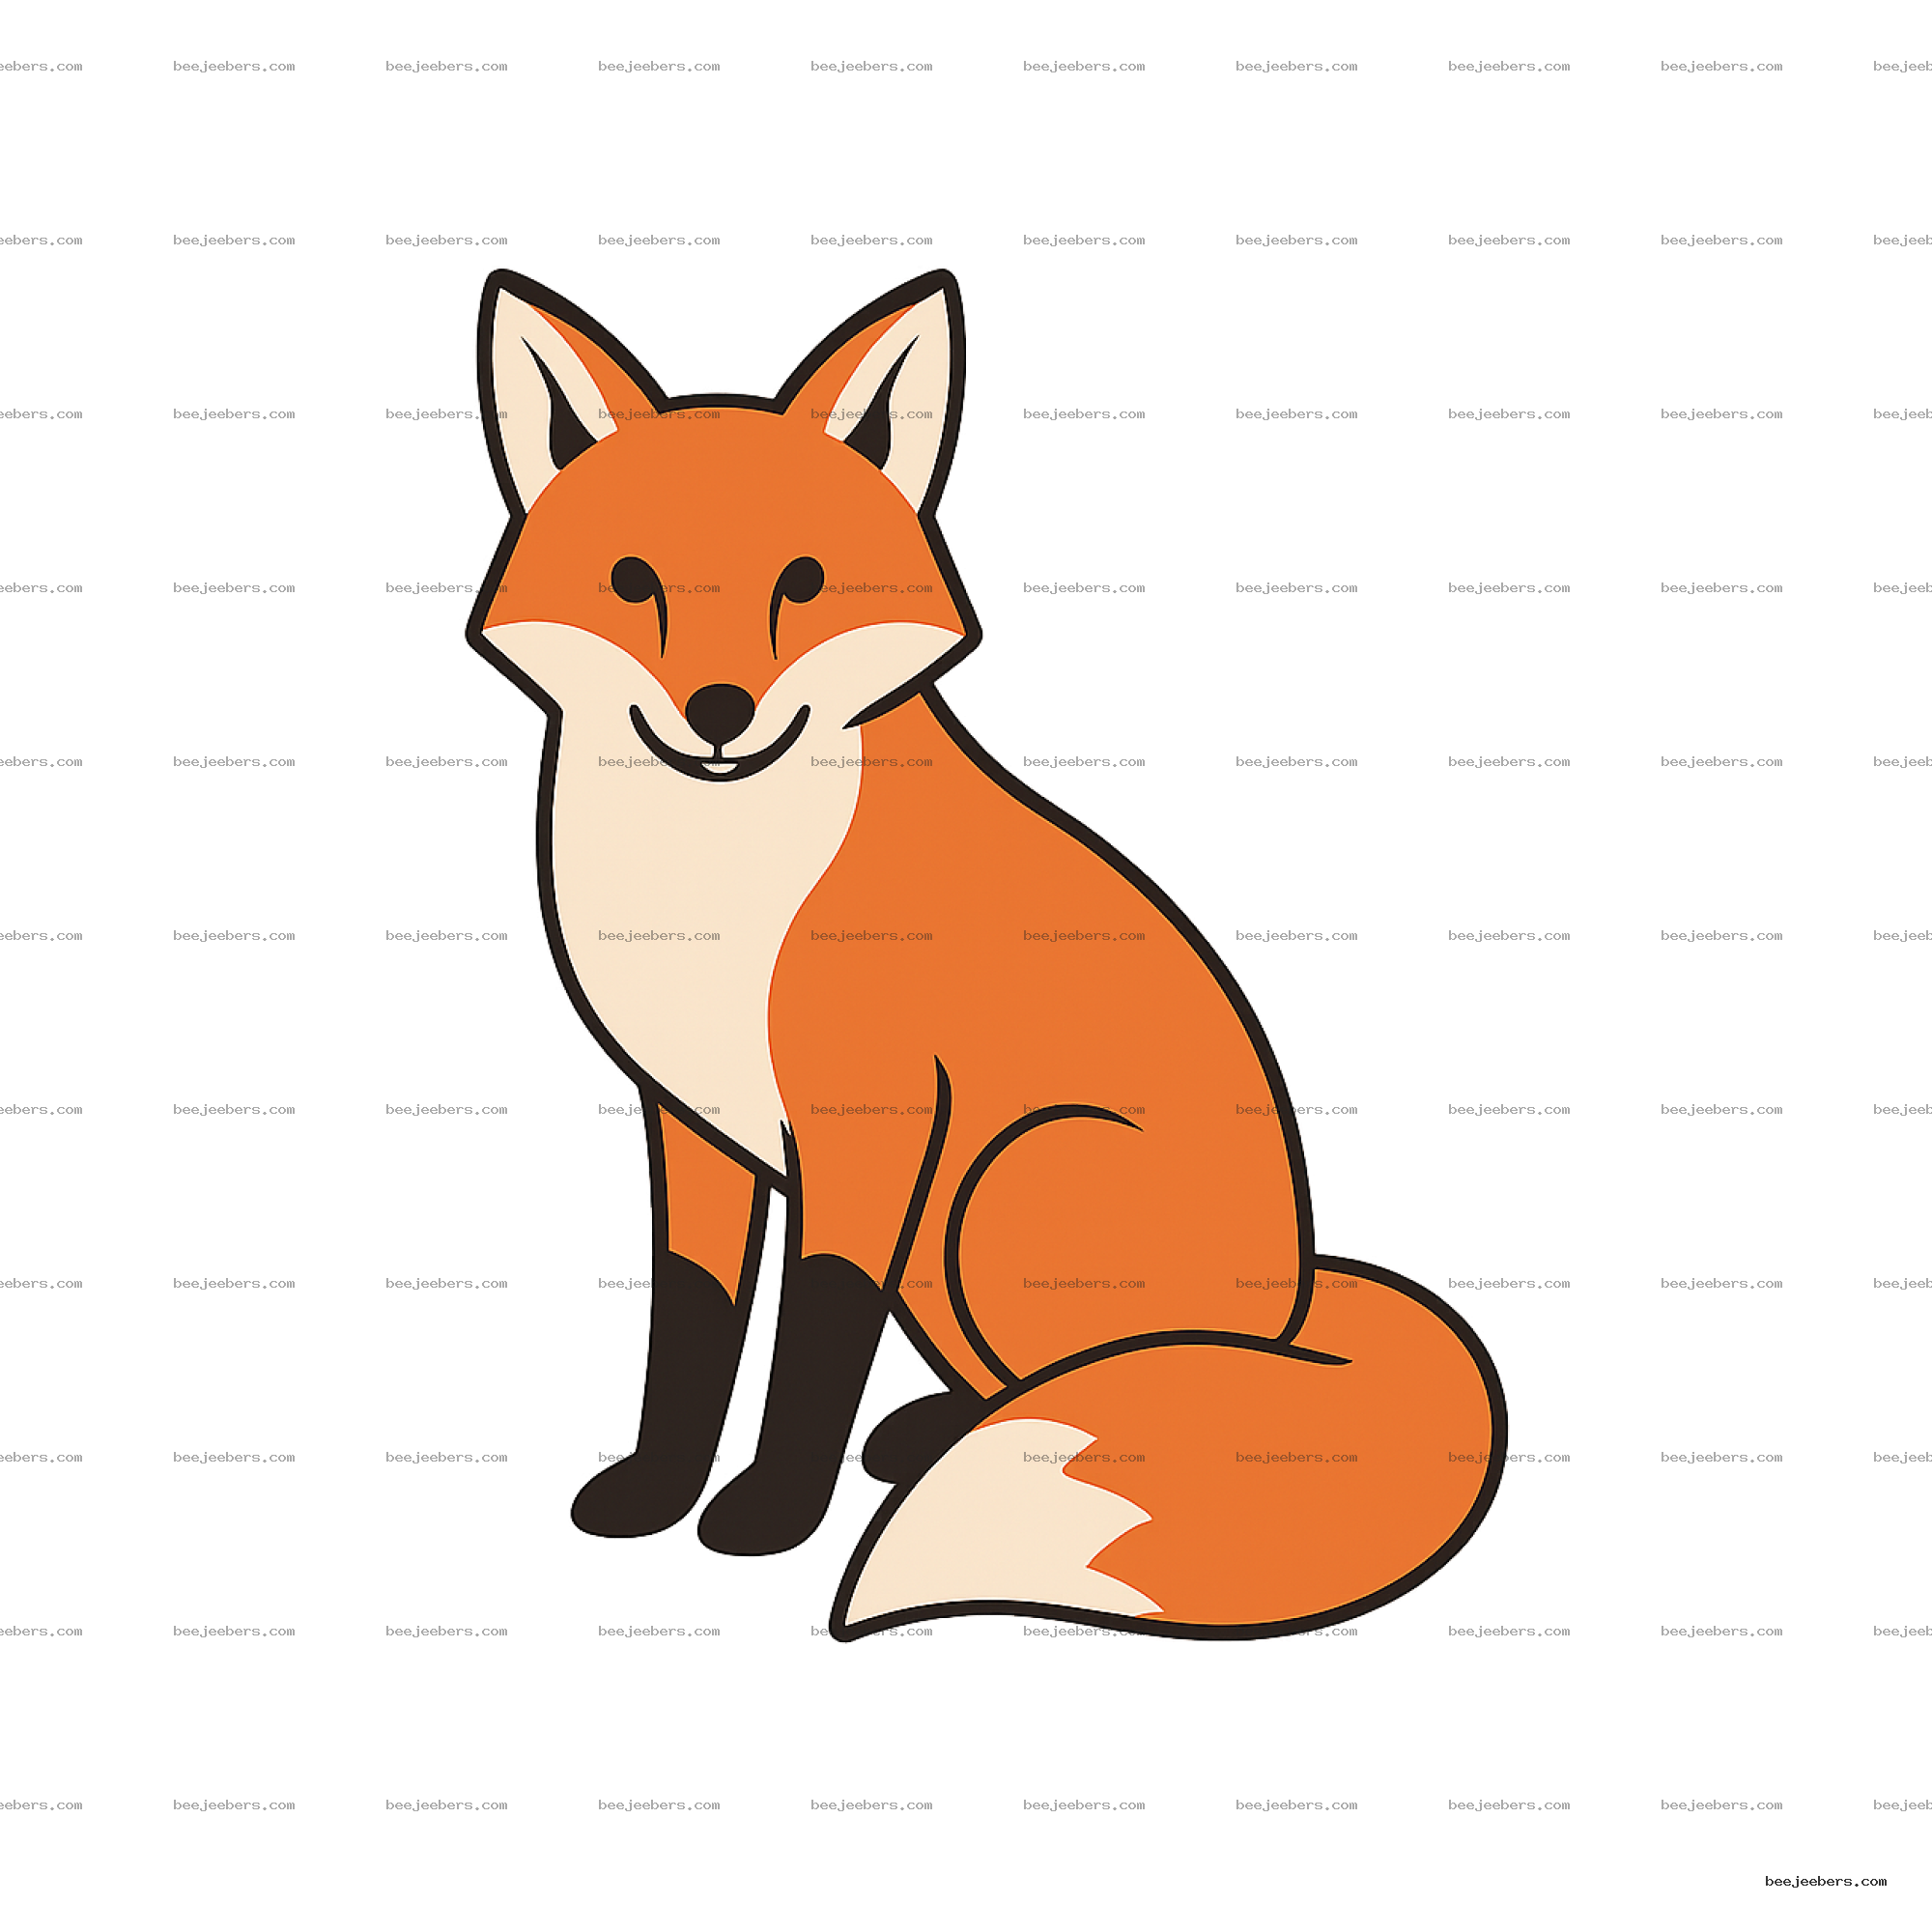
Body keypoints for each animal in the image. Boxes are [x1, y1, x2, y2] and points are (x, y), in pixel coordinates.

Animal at [466, 267, 1505, 1640]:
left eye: (805, 582)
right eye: (633, 582)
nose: (720, 715)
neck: (714, 892)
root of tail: (1298, 1308)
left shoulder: (871, 1117)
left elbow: (815, 1334)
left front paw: (768, 1515)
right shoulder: (692, 1123)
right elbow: (694, 1324)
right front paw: (658, 1494)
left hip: (994, 1184)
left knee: (1107, 1388)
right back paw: (943, 1437)